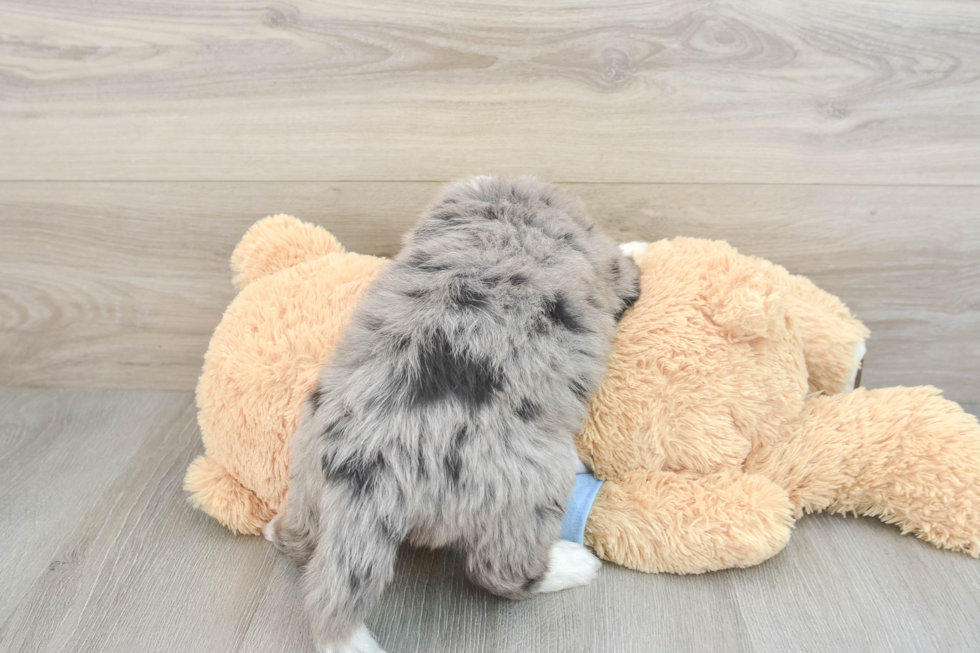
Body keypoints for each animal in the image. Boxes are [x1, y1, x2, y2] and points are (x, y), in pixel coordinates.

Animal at [264, 174, 640, 652]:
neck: (505, 211)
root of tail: (368, 468)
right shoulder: (606, 264)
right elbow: (626, 264)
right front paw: (644, 244)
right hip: (528, 492)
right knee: (499, 573)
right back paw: (571, 564)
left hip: (308, 474)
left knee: (301, 543)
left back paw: (276, 530)